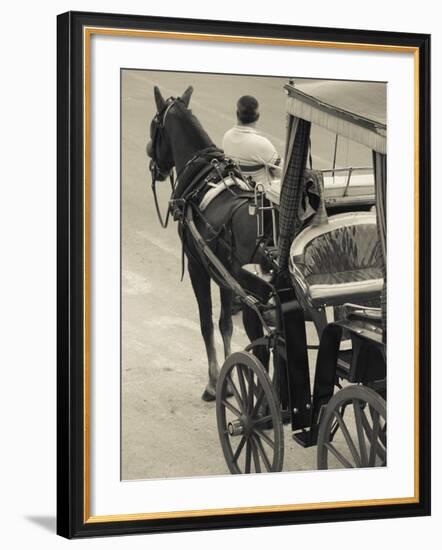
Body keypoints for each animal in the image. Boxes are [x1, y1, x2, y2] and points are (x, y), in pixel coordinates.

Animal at [146, 87, 270, 406]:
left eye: (154, 126)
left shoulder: (197, 265)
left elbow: (206, 323)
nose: (150, 155)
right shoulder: (225, 275)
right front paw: (231, 379)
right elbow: (225, 323)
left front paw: (215, 384)